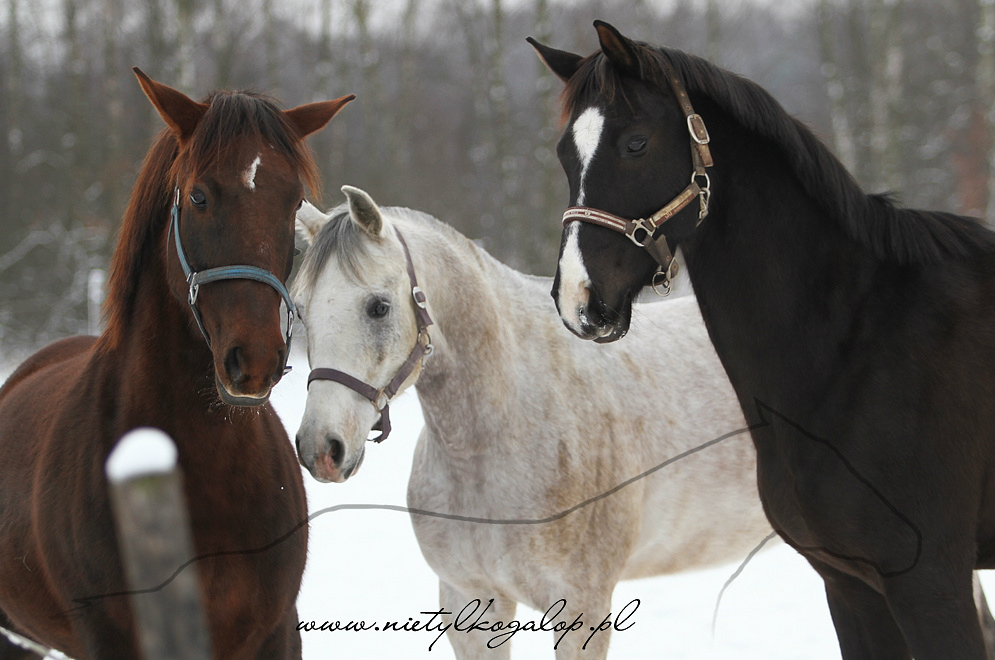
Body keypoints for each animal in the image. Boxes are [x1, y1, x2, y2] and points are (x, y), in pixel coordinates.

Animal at [532, 20, 995, 660]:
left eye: (636, 144)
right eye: (564, 154)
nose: (580, 301)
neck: (856, 345)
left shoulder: (931, 584)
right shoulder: (850, 585)